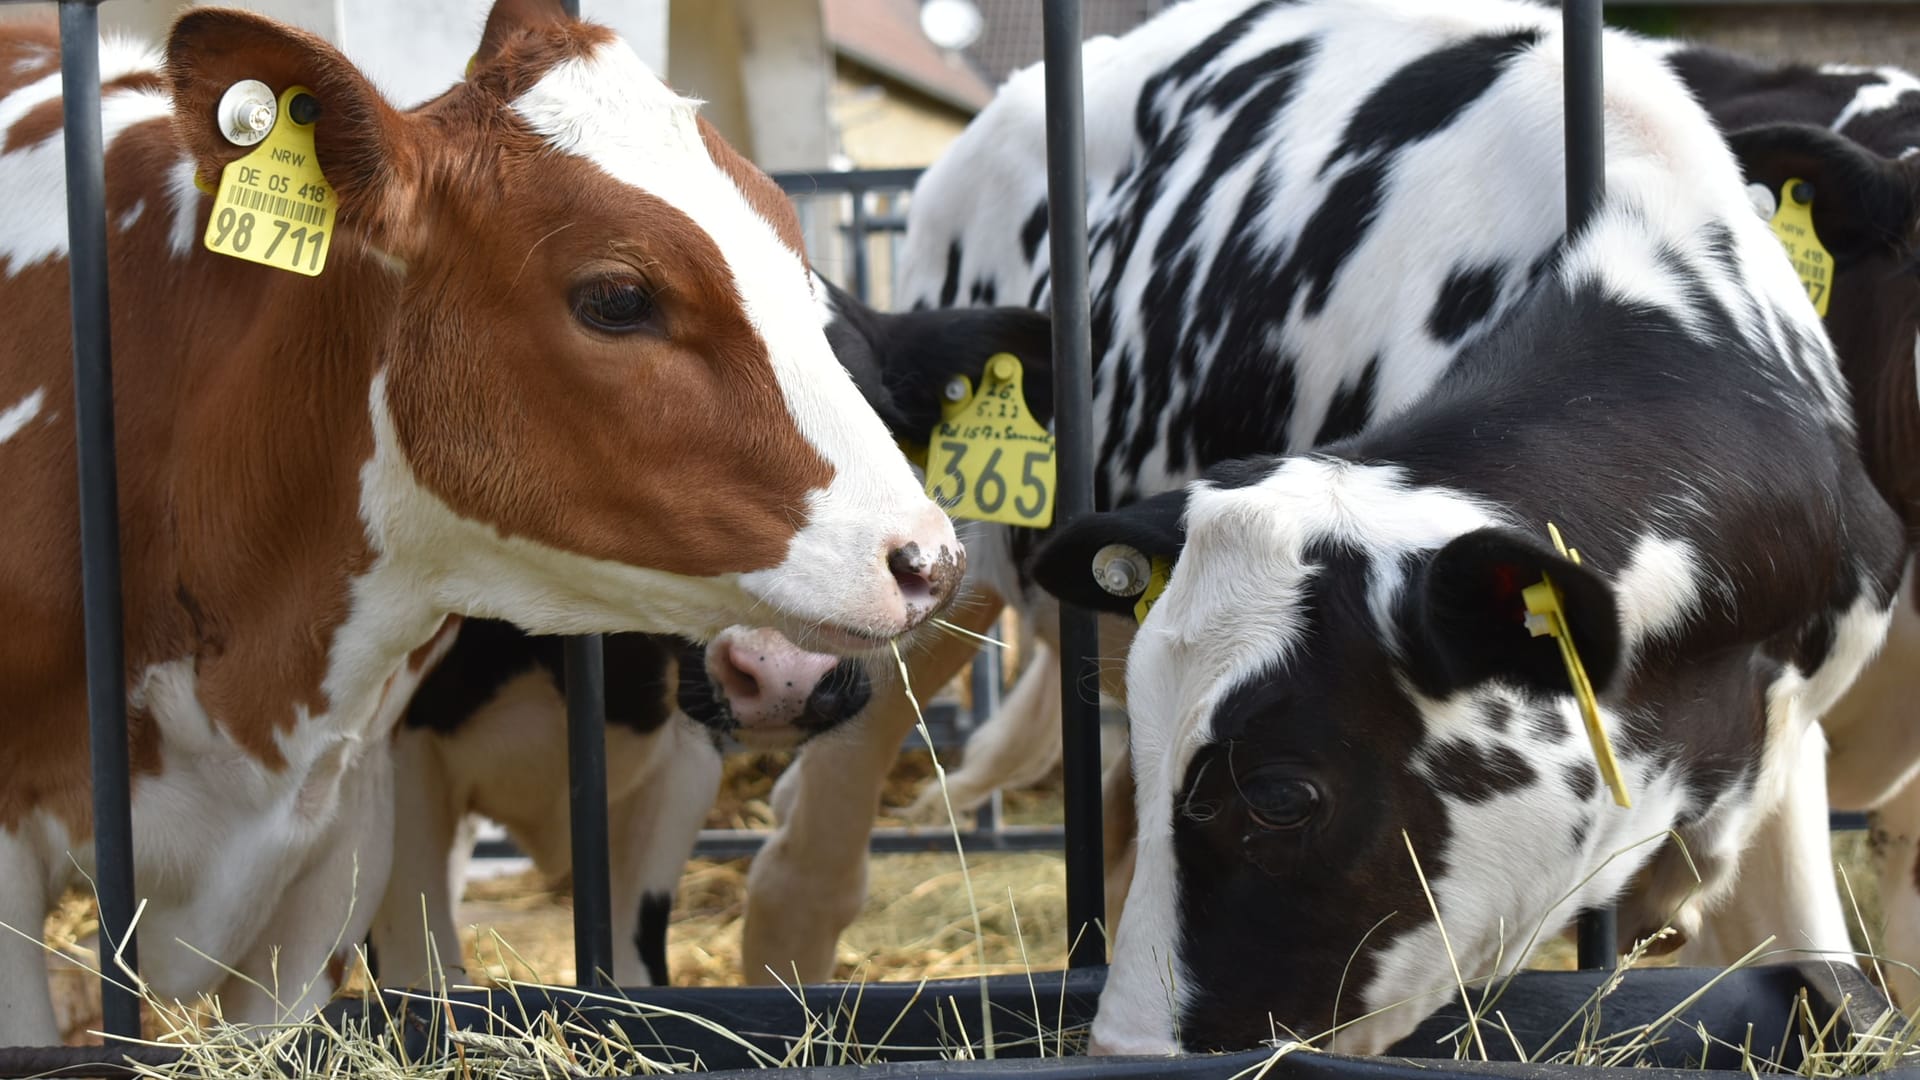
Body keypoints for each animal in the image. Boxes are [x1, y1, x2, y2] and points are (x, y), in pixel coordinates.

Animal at [744, 0, 1904, 1045]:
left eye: (1281, 796)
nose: (1129, 1053)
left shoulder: (1784, 744)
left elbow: (1828, 972)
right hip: (918, 572)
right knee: (807, 843)